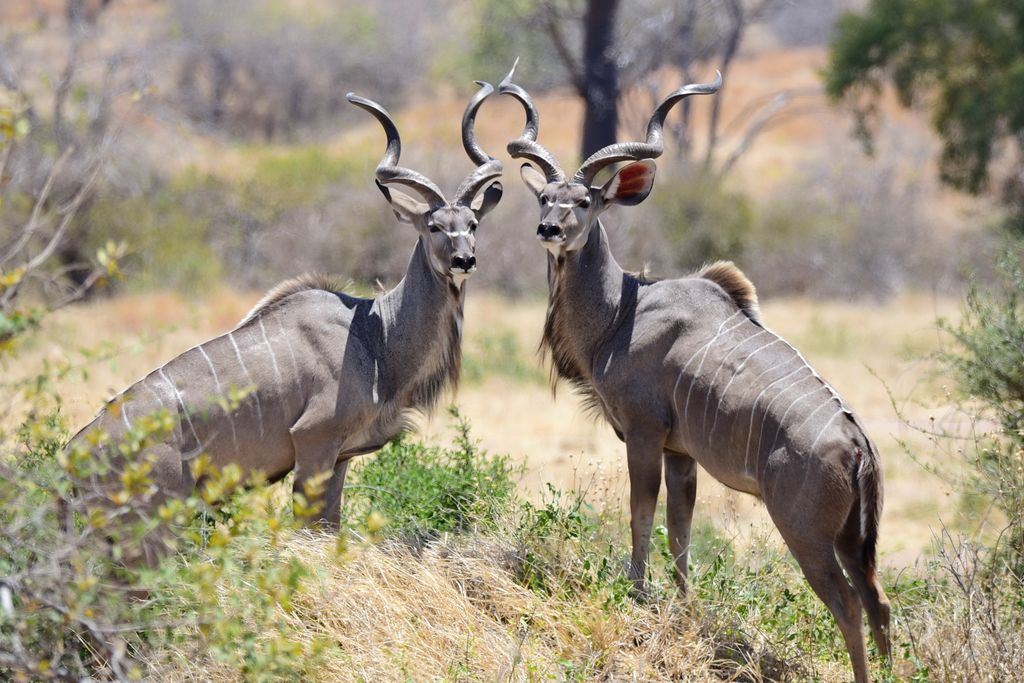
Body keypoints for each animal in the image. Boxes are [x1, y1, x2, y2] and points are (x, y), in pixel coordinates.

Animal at [66, 83, 505, 528]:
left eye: (473, 225)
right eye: (433, 226)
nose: (464, 261)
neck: (375, 337)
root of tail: (74, 453)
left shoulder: (340, 455)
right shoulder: (314, 441)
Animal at [499, 66, 892, 679]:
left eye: (585, 201)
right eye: (544, 196)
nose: (549, 229)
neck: (623, 309)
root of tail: (858, 446)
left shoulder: (643, 434)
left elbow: (641, 517)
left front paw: (636, 596)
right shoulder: (682, 453)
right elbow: (680, 533)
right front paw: (684, 611)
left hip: (804, 532)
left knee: (848, 605)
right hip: (854, 540)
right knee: (880, 604)